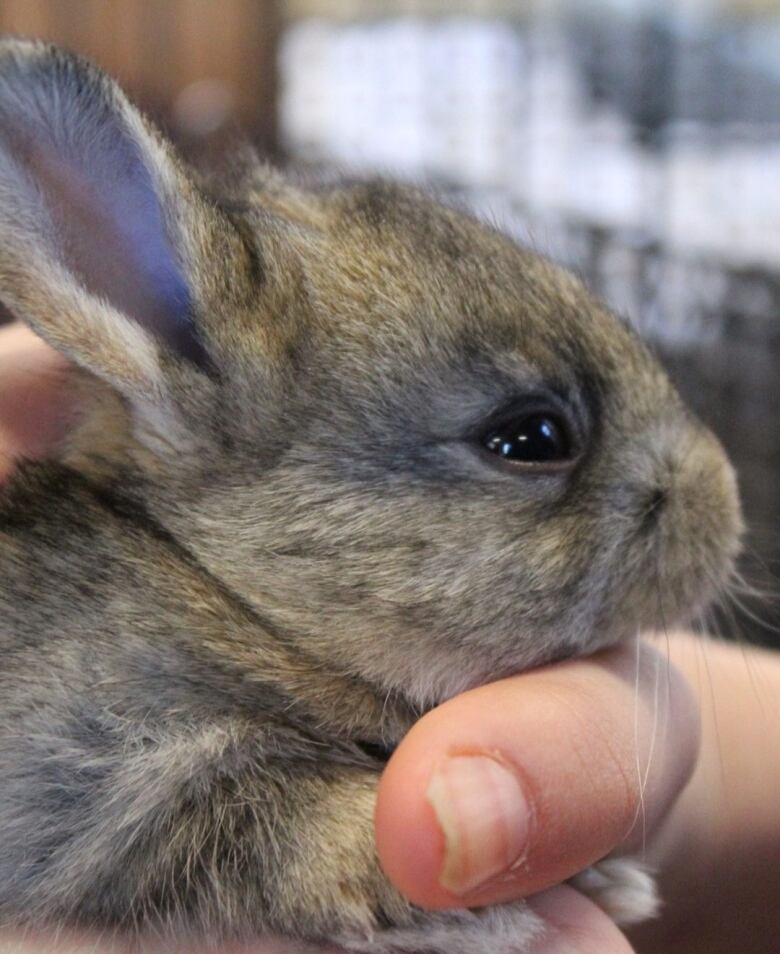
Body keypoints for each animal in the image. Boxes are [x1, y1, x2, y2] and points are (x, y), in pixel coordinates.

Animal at [0, 39, 744, 952]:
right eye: (531, 438)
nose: (725, 504)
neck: (236, 602)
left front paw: (611, 879)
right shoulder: (97, 783)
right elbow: (267, 824)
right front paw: (467, 899)